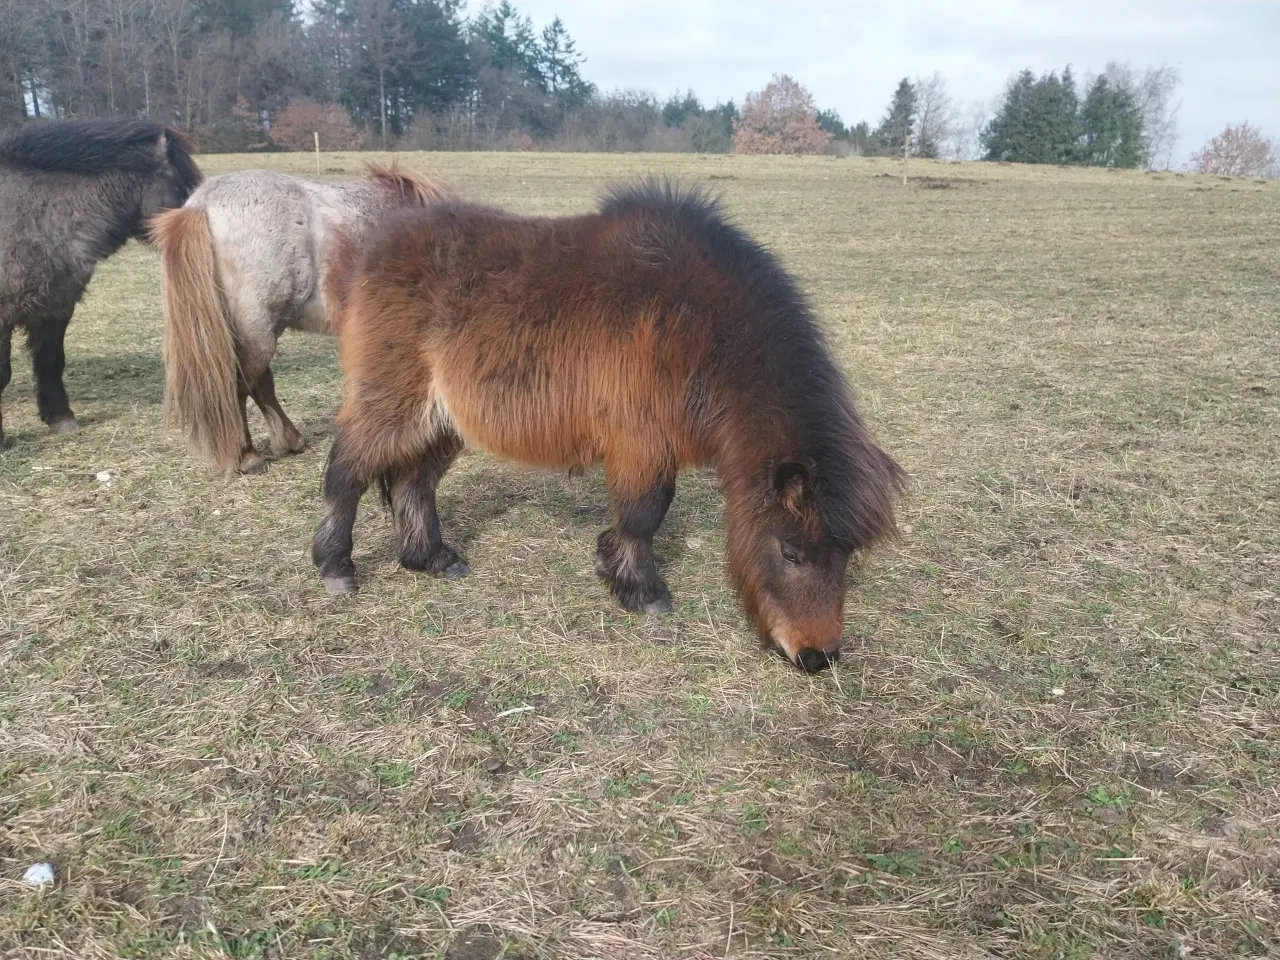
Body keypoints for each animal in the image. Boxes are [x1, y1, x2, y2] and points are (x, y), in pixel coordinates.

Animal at [149, 171, 455, 478]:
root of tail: (203, 204)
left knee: (260, 383)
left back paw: (288, 440)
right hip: (258, 328)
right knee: (242, 385)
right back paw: (249, 455)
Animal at [313, 181, 906, 675]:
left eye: (846, 556)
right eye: (789, 552)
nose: (817, 657)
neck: (698, 329)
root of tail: (372, 250)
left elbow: (636, 517)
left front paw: (608, 561)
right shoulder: (641, 444)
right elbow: (645, 514)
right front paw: (642, 591)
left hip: (443, 422)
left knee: (413, 483)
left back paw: (430, 559)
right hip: (393, 403)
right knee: (347, 472)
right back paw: (336, 566)